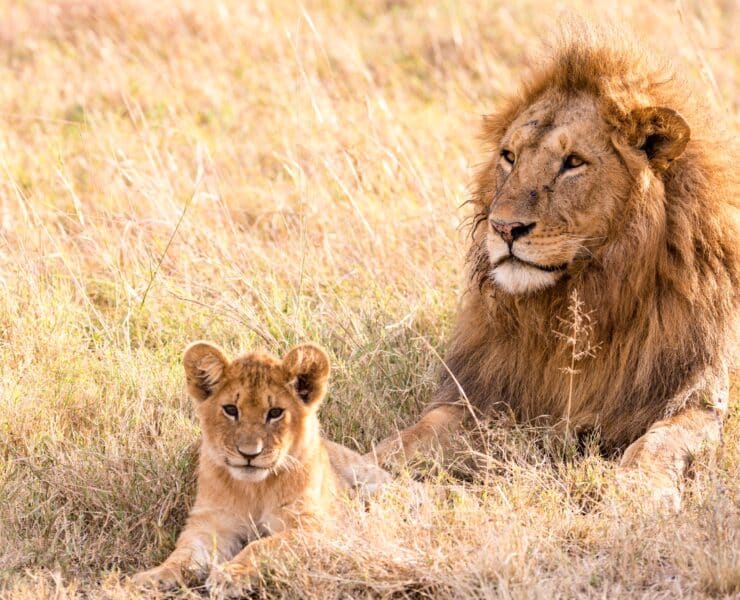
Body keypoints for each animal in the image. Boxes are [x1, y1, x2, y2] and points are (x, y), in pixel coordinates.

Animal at [133, 342, 389, 590]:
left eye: (275, 412)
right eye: (231, 409)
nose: (249, 454)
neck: (254, 489)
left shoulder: (314, 526)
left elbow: (262, 545)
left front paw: (230, 575)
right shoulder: (211, 522)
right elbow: (184, 554)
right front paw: (152, 578)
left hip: (368, 476)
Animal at [370, 28, 738, 509]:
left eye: (573, 162)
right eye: (509, 156)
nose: (503, 227)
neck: (573, 307)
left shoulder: (696, 398)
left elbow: (660, 442)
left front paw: (639, 492)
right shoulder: (483, 395)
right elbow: (416, 434)